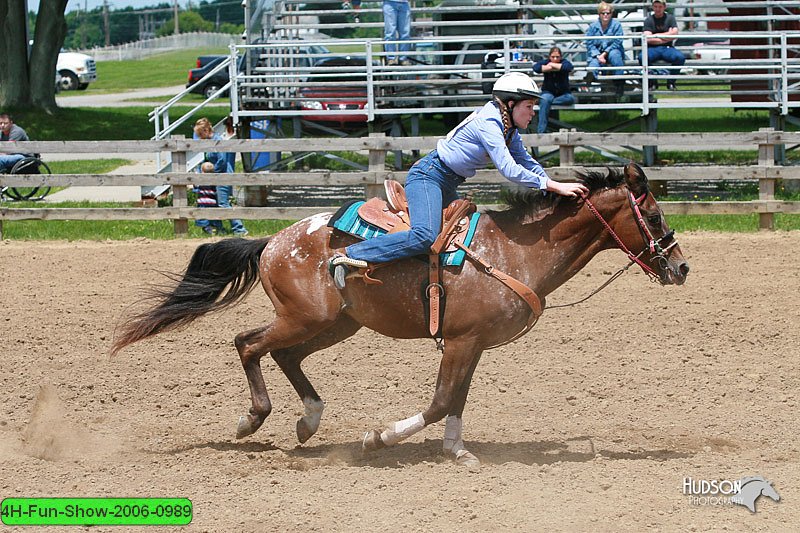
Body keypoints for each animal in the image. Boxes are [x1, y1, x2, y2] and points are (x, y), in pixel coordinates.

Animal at [111, 163, 688, 466]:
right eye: (655, 214)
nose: (681, 267)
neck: (514, 250)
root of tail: (273, 241)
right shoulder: (462, 341)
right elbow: (439, 402)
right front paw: (379, 438)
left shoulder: (472, 343)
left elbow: (458, 400)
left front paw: (457, 451)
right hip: (305, 318)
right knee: (248, 343)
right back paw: (251, 419)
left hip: (335, 324)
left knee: (285, 356)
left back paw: (308, 420)